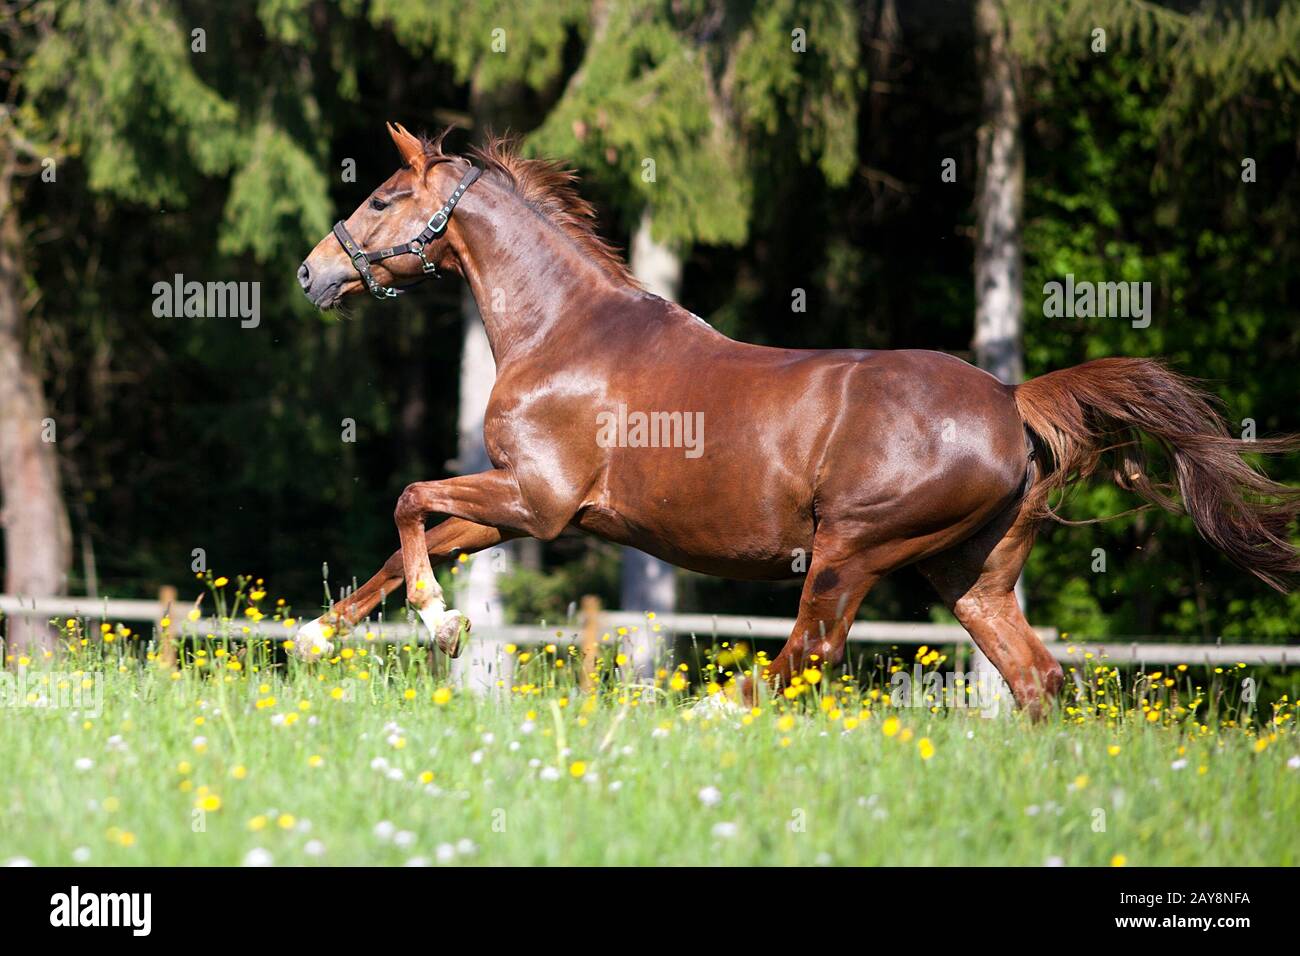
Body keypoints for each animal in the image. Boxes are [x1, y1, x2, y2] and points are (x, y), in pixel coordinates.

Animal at [295, 123, 1300, 712]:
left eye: (382, 197)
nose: (311, 272)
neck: (562, 332)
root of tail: (1011, 403)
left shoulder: (536, 501)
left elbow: (409, 499)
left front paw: (440, 624)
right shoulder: (524, 506)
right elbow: (411, 538)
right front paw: (317, 635)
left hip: (853, 548)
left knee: (808, 654)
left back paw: (710, 709)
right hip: (970, 573)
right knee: (1035, 677)